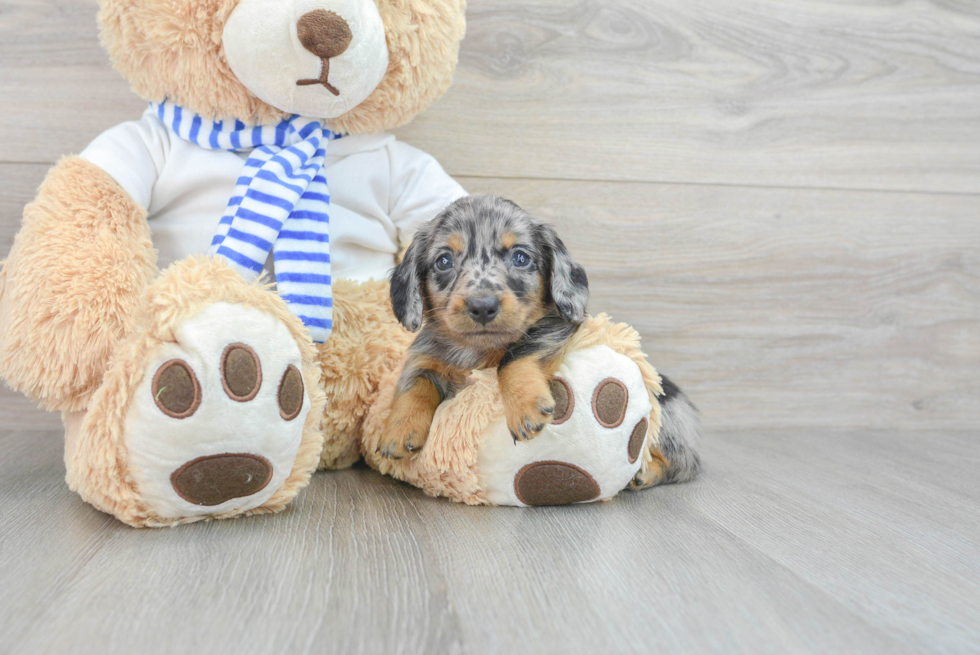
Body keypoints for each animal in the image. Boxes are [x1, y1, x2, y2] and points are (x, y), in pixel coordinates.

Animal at [378, 195, 588, 462]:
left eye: (520, 258)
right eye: (444, 261)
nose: (482, 306)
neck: (477, 350)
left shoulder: (555, 328)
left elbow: (512, 358)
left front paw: (524, 406)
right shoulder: (425, 356)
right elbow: (414, 384)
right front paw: (399, 428)